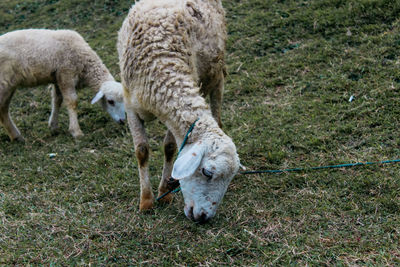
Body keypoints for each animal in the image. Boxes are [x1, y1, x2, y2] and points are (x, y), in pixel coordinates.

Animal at [117, 0, 239, 223]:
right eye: (207, 172)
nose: (204, 217)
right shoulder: (130, 107)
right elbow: (142, 151)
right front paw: (146, 201)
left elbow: (170, 147)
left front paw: (164, 191)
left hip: (216, 75)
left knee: (217, 115)